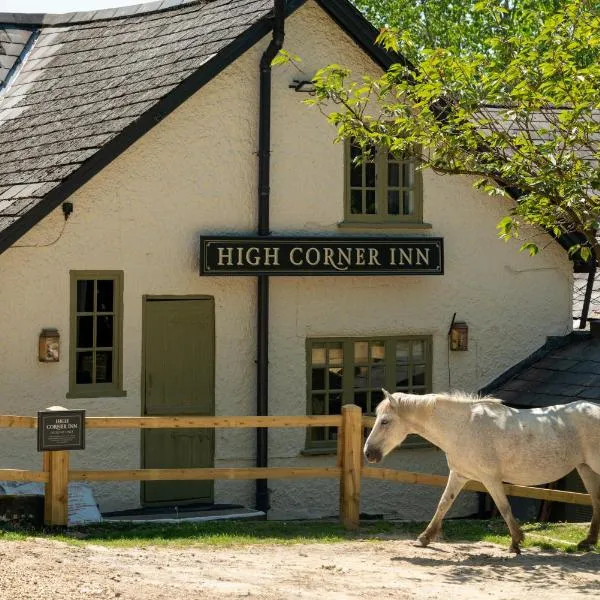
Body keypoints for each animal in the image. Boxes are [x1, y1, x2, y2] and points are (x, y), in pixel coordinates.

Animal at [364, 390, 600, 552]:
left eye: (385, 421)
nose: (368, 453)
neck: (463, 427)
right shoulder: (459, 475)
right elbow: (443, 503)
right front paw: (424, 538)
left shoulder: (490, 479)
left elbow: (504, 507)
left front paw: (516, 542)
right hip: (585, 468)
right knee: (596, 501)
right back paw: (588, 542)